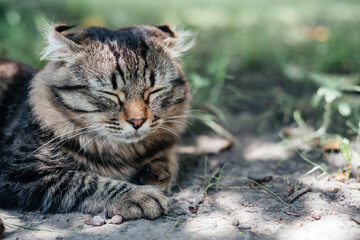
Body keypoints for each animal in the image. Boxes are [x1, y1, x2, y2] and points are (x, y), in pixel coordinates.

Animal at [0, 23, 194, 231]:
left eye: (154, 91)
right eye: (110, 93)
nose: (137, 121)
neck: (127, 152)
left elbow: (167, 161)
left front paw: (155, 174)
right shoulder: (22, 171)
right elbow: (86, 182)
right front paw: (140, 195)